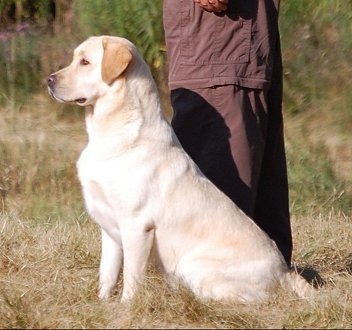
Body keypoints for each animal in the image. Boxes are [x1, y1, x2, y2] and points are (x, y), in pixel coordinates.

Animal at [47, 36, 314, 304]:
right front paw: (102, 304)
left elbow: (131, 277)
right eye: (75, 58)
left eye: (84, 62)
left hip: (195, 266)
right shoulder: (109, 230)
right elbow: (108, 273)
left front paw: (126, 307)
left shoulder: (137, 226)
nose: (49, 80)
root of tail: (284, 271)